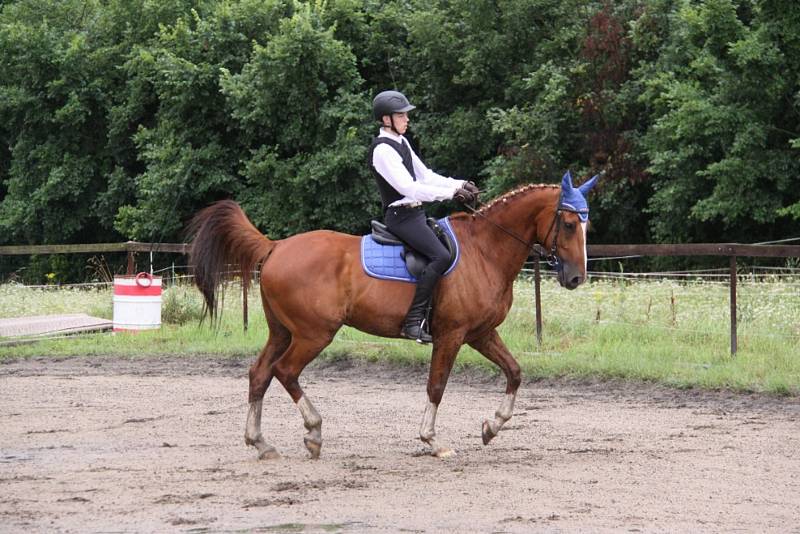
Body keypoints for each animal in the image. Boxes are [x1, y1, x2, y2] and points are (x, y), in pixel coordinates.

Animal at [191, 172, 596, 460]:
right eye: (569, 224)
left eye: (585, 225)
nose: (576, 278)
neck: (484, 250)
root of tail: (276, 247)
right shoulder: (451, 335)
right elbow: (436, 385)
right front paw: (432, 441)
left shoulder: (480, 333)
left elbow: (514, 371)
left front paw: (492, 427)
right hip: (313, 334)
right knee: (285, 372)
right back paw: (314, 431)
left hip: (282, 332)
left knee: (260, 373)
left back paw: (261, 442)